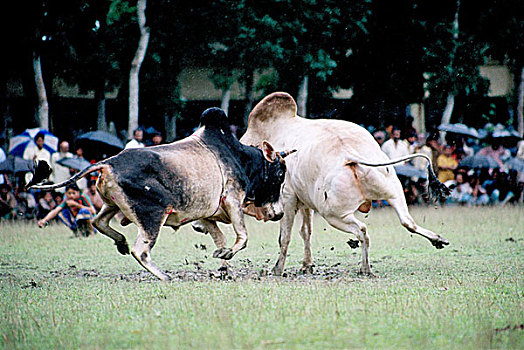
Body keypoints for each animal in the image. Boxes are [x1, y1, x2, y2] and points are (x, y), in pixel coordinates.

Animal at [30, 108, 294, 280]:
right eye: (280, 173)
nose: (279, 213)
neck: (240, 158)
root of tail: (108, 163)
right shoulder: (232, 198)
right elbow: (243, 236)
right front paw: (227, 255)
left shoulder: (208, 213)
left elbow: (220, 239)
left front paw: (223, 263)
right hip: (153, 214)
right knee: (140, 250)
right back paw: (164, 276)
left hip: (111, 205)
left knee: (98, 221)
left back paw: (121, 242)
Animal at [242, 91, 450, 276]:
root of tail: (349, 154)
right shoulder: (305, 202)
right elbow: (306, 232)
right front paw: (307, 265)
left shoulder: (288, 198)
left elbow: (284, 237)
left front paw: (278, 269)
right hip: (393, 191)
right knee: (408, 222)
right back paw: (438, 240)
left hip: (333, 214)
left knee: (362, 230)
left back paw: (365, 269)